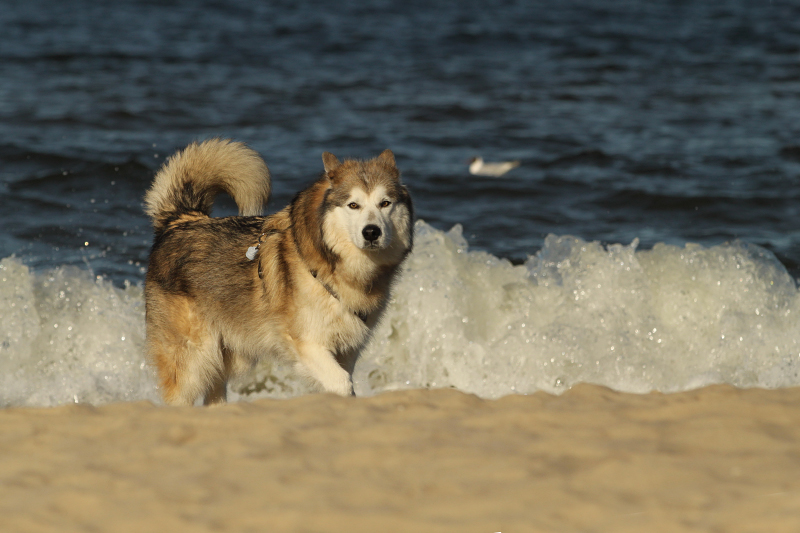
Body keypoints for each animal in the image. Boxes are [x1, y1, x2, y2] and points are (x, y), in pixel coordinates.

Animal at [143, 139, 412, 406]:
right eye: (353, 205)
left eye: (385, 203)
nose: (372, 232)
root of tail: (180, 220)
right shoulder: (309, 345)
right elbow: (342, 384)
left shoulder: (346, 351)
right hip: (194, 363)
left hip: (224, 360)